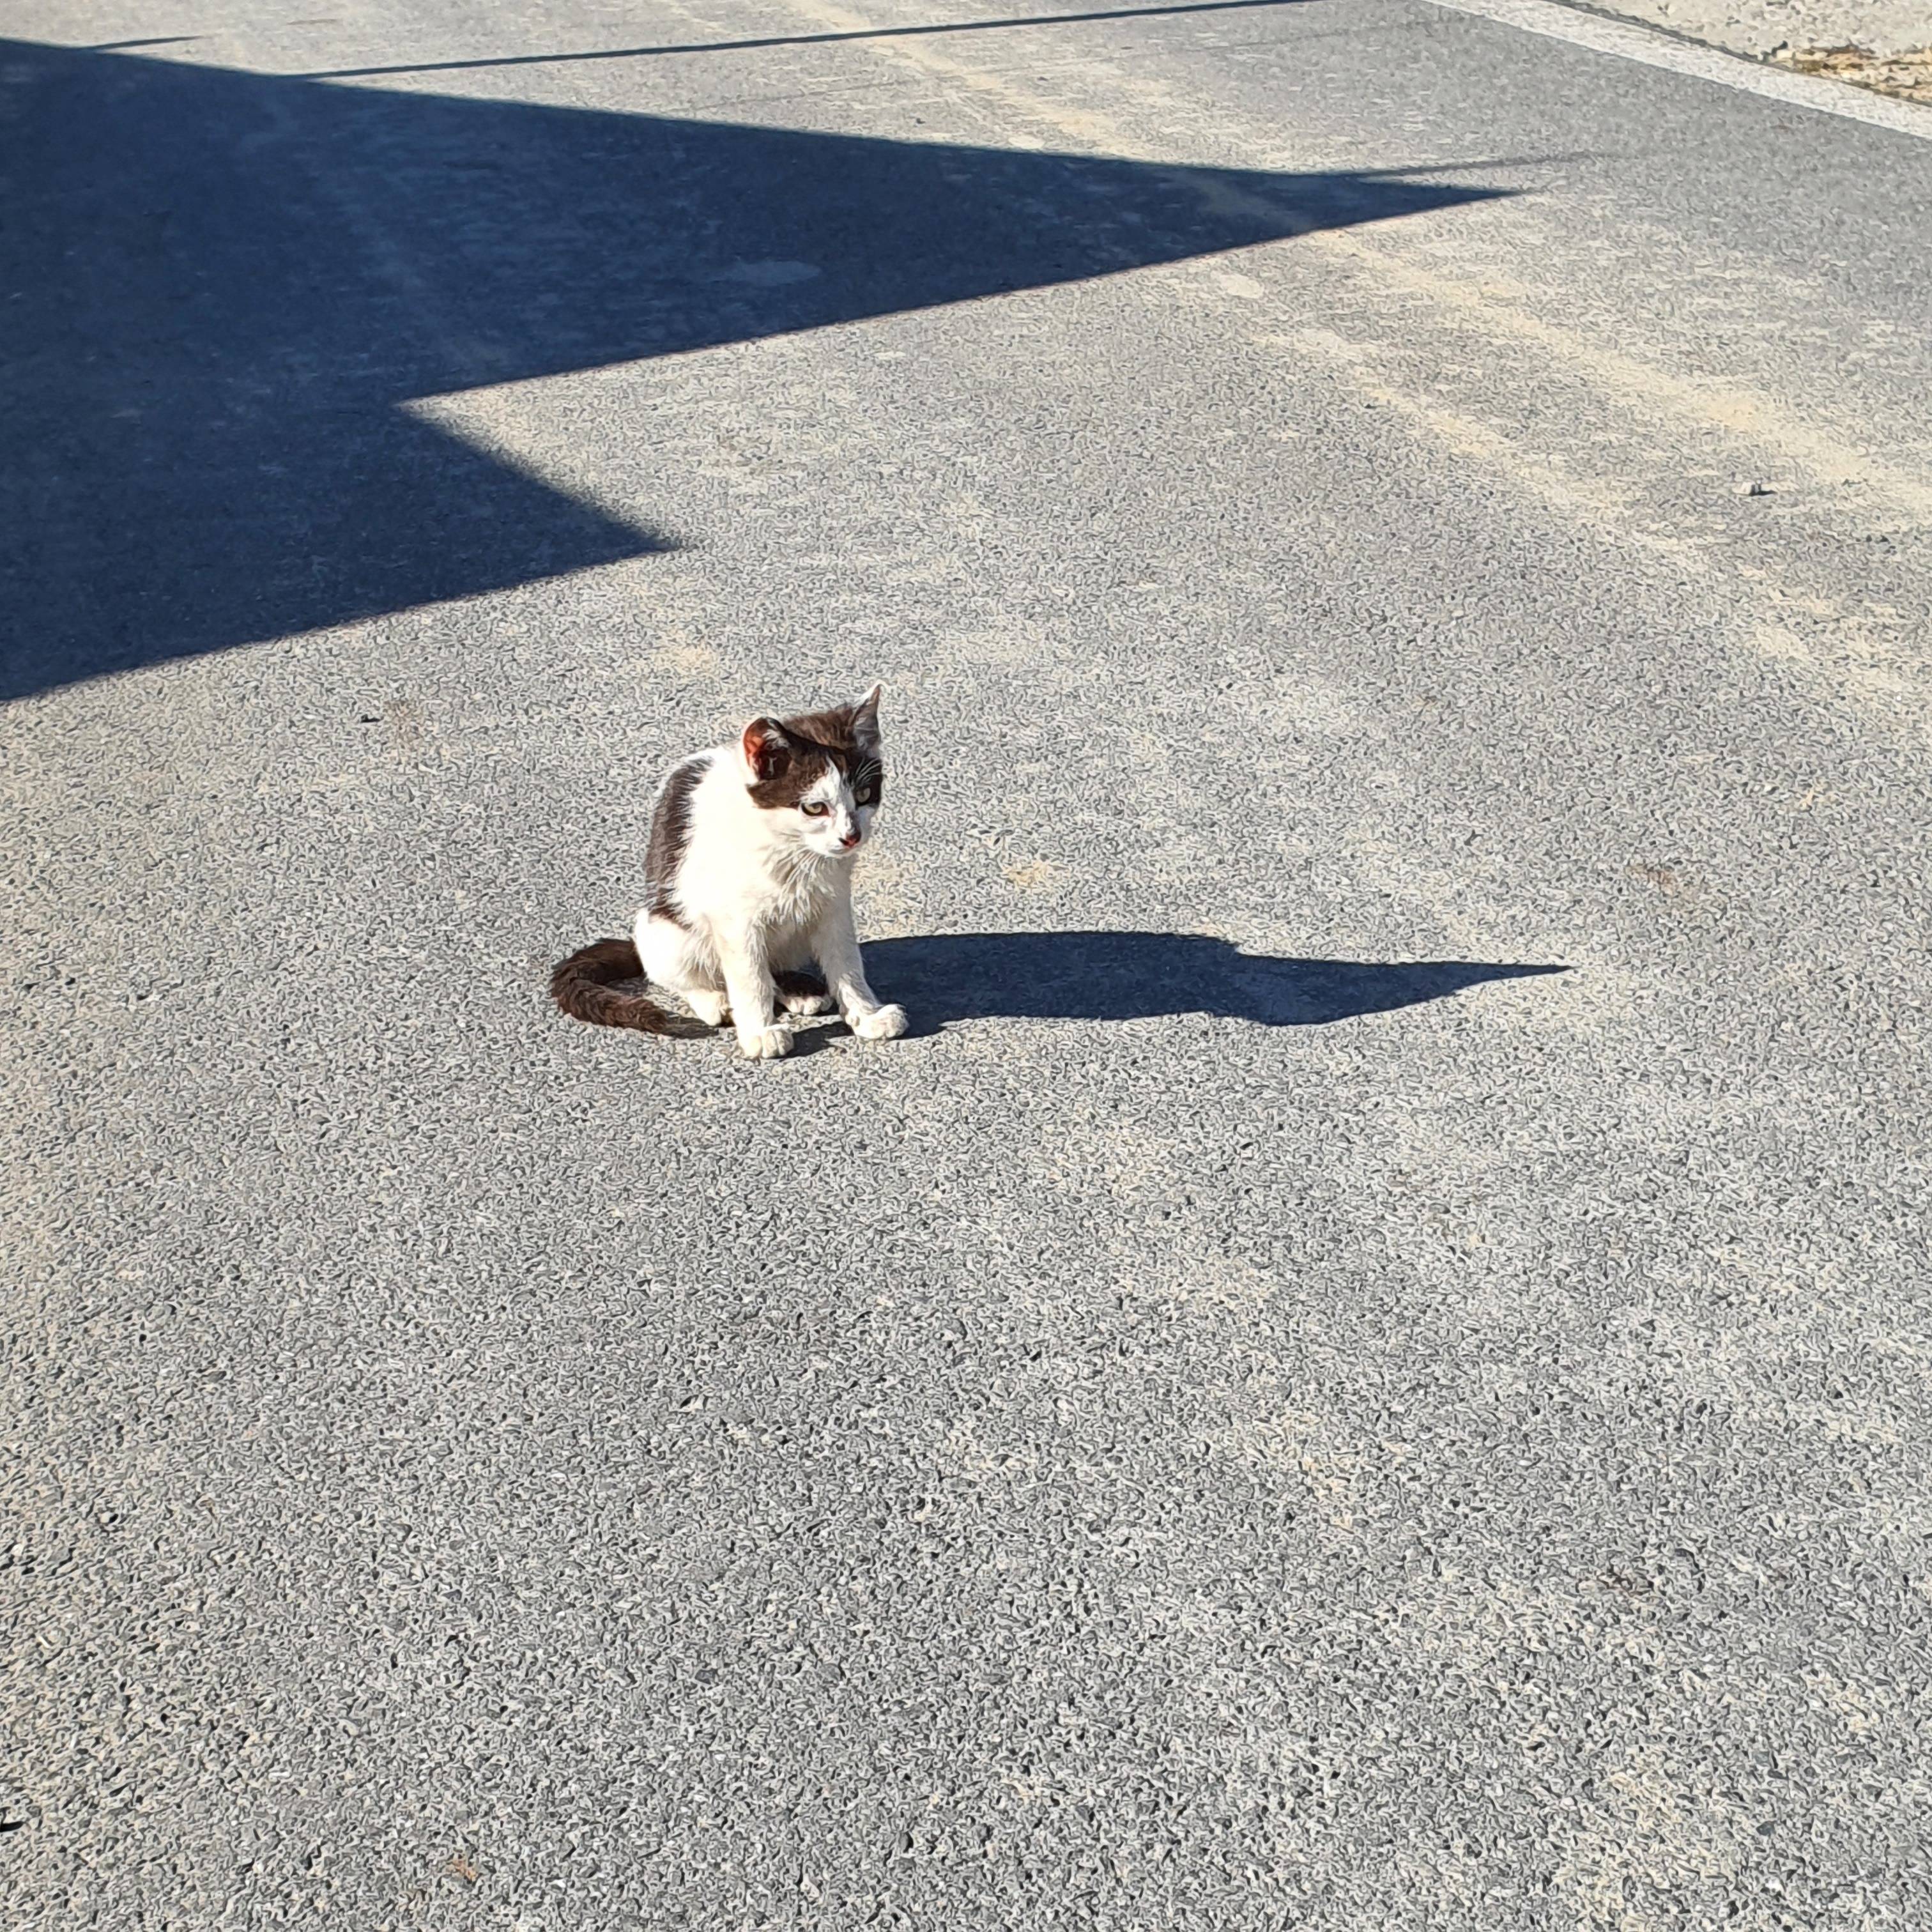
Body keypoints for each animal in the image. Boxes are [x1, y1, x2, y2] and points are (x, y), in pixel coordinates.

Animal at [544, 691, 904, 1066]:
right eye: (815, 808)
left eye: (863, 795)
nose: (851, 836)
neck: (791, 850)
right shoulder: (734, 918)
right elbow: (749, 975)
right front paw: (759, 1032)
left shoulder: (834, 903)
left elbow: (846, 960)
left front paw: (867, 1015)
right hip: (664, 928)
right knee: (675, 973)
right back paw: (715, 1000)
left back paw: (797, 990)